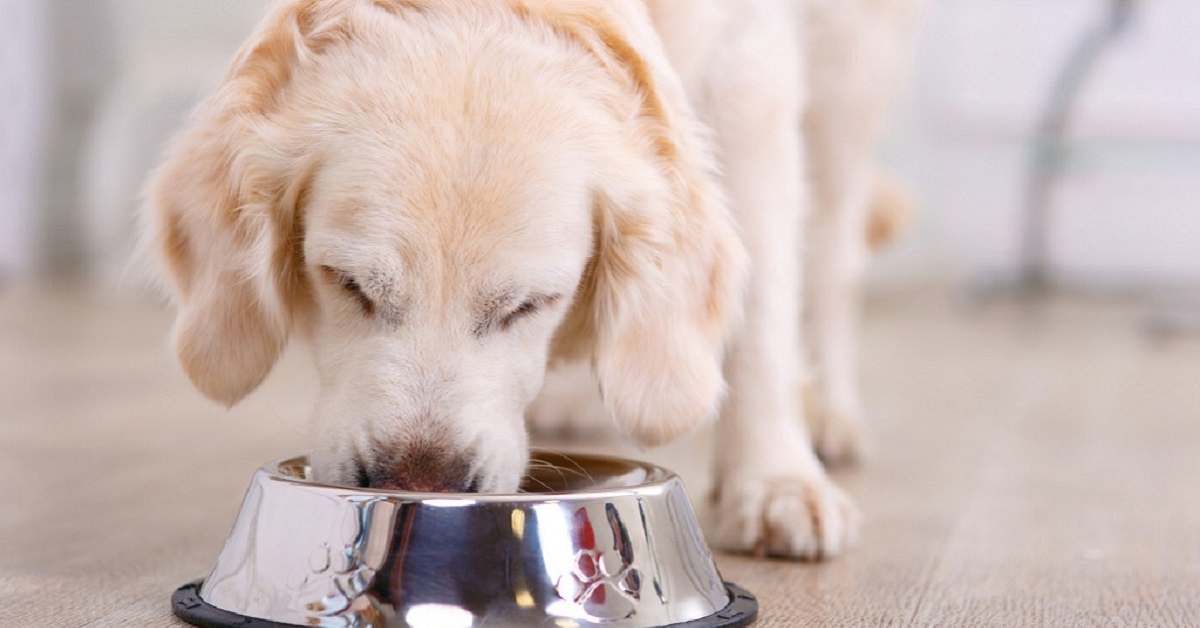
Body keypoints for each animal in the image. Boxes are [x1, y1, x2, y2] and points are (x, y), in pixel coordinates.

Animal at [145, 0, 921, 559]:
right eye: (348, 283)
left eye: (529, 305)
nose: (420, 486)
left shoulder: (749, 75)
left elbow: (762, 309)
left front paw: (774, 480)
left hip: (849, 76)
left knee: (832, 255)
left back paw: (830, 416)